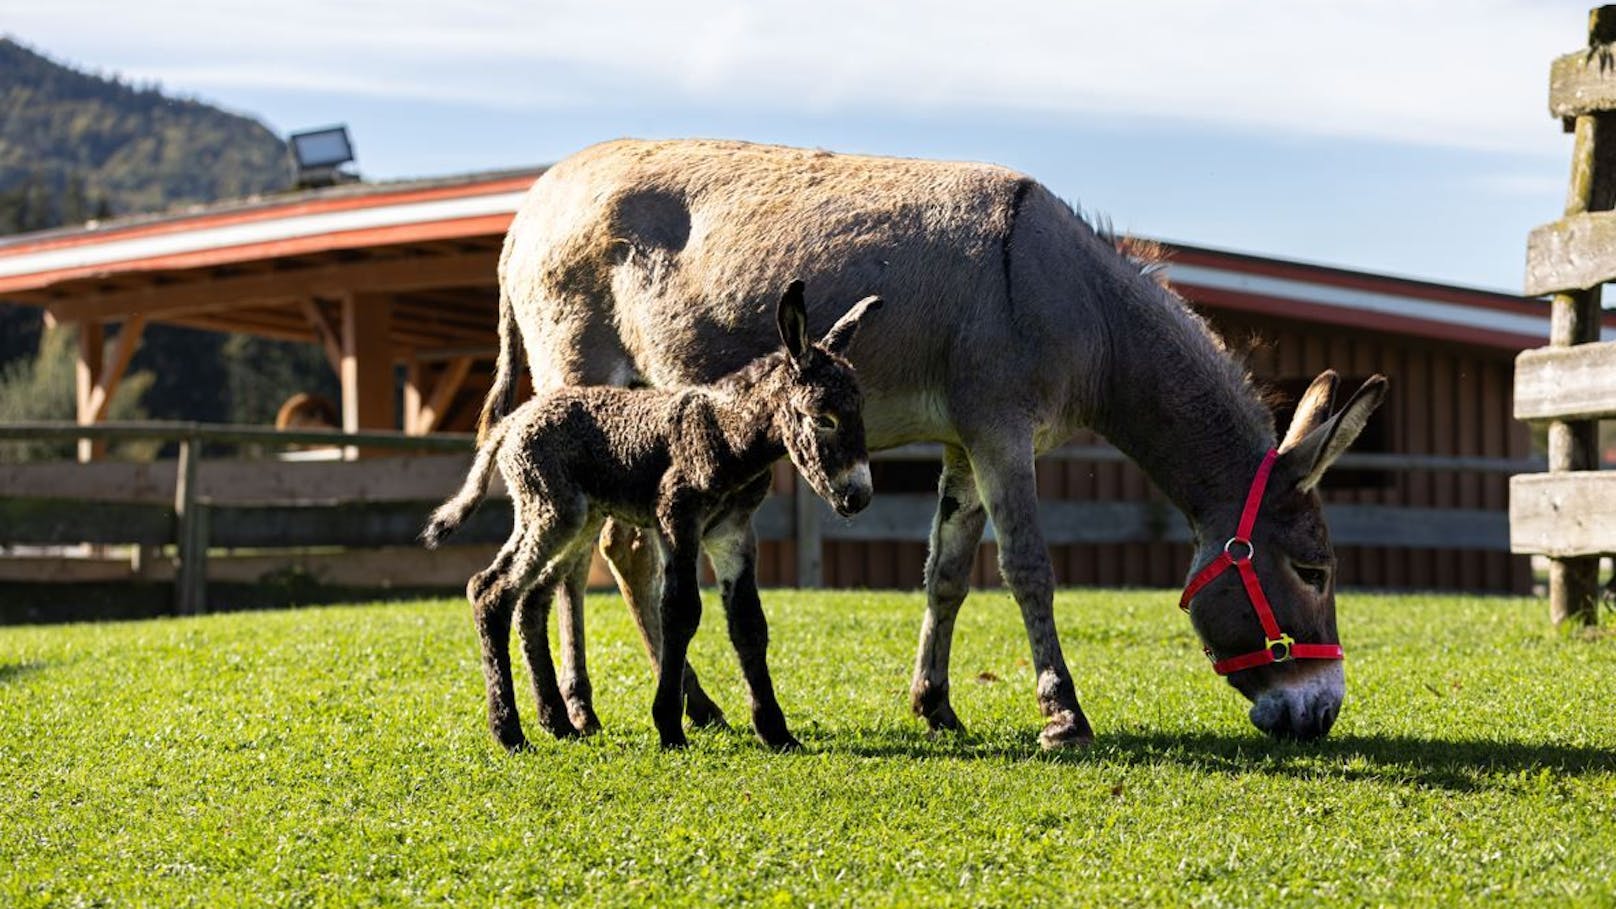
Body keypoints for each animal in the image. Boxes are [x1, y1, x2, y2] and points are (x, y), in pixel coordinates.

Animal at [423, 283, 879, 750]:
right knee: (490, 590)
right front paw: (670, 726)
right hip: (550, 512)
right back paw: (509, 731)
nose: (858, 496)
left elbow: (749, 623)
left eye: (860, 410)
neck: (725, 435)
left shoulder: (733, 532)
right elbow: (679, 612)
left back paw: (556, 721)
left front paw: (775, 731)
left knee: (530, 599)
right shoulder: (677, 520)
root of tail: (515, 419)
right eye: (822, 418)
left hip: (579, 520)